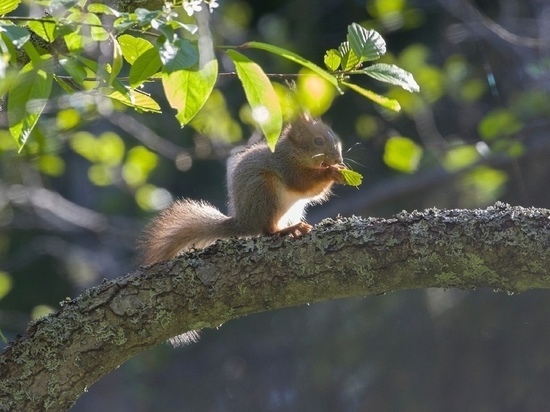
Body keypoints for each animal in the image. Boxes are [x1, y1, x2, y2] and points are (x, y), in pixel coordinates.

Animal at [141, 113, 344, 268]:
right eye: (318, 141)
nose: (338, 159)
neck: (294, 152)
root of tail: (245, 222)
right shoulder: (287, 166)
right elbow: (303, 183)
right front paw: (332, 172)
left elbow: (313, 192)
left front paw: (340, 171)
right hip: (264, 189)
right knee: (267, 230)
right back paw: (289, 229)